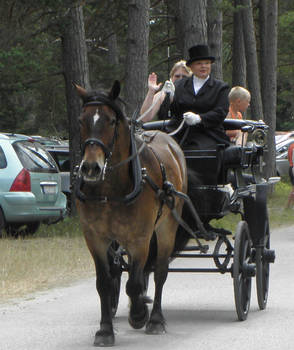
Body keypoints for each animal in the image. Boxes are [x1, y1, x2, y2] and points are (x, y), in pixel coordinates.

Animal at [74, 81, 187, 348]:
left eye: (111, 121)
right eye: (81, 120)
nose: (91, 168)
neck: (110, 189)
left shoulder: (140, 238)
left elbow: (135, 283)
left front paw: (139, 314)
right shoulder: (95, 239)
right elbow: (105, 283)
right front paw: (105, 330)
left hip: (166, 227)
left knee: (159, 272)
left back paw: (155, 318)